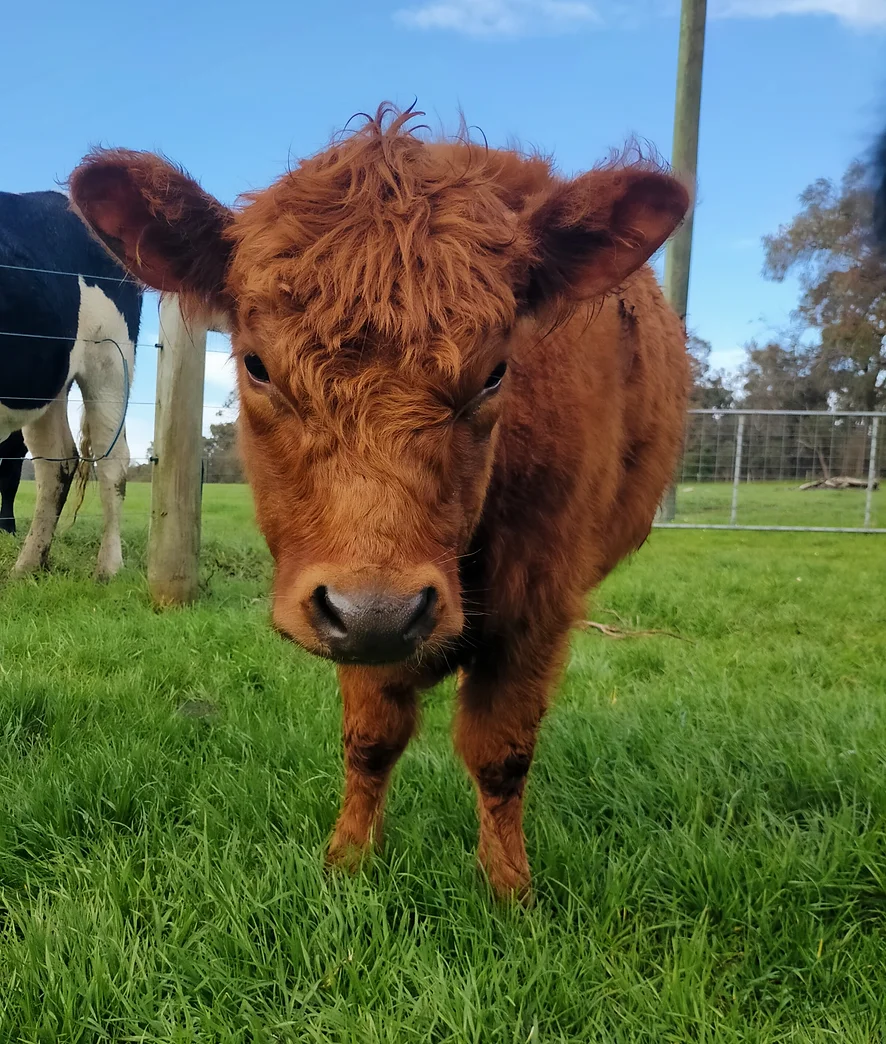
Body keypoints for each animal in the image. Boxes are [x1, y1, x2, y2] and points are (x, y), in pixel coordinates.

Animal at [0, 190, 141, 580]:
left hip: (110, 365)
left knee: (111, 463)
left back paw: (108, 568)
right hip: (49, 384)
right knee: (58, 463)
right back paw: (28, 565)